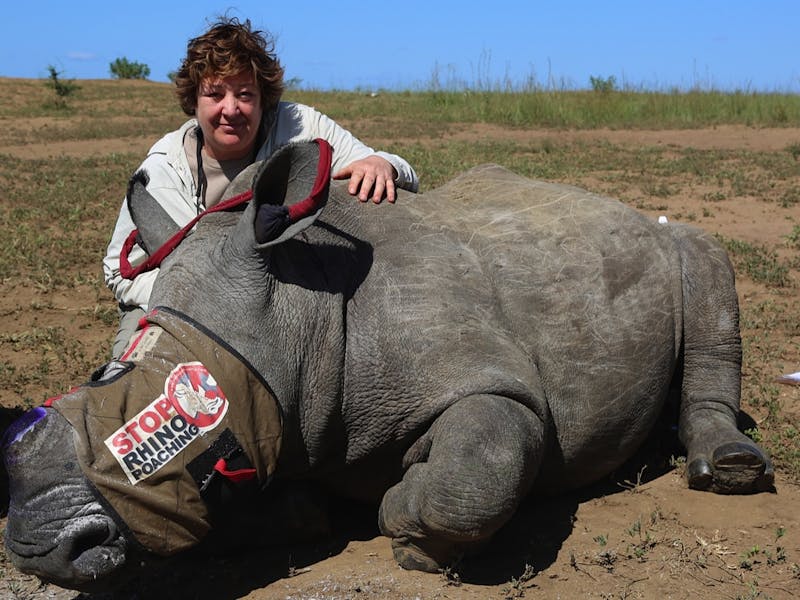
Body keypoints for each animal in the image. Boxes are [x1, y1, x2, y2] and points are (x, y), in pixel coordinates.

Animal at [1, 139, 776, 592]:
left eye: (166, 411)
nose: (41, 548)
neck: (301, 309)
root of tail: (621, 205)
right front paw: (309, 511)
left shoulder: (494, 381)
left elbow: (476, 470)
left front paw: (402, 526)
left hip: (668, 239)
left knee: (704, 257)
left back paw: (732, 469)